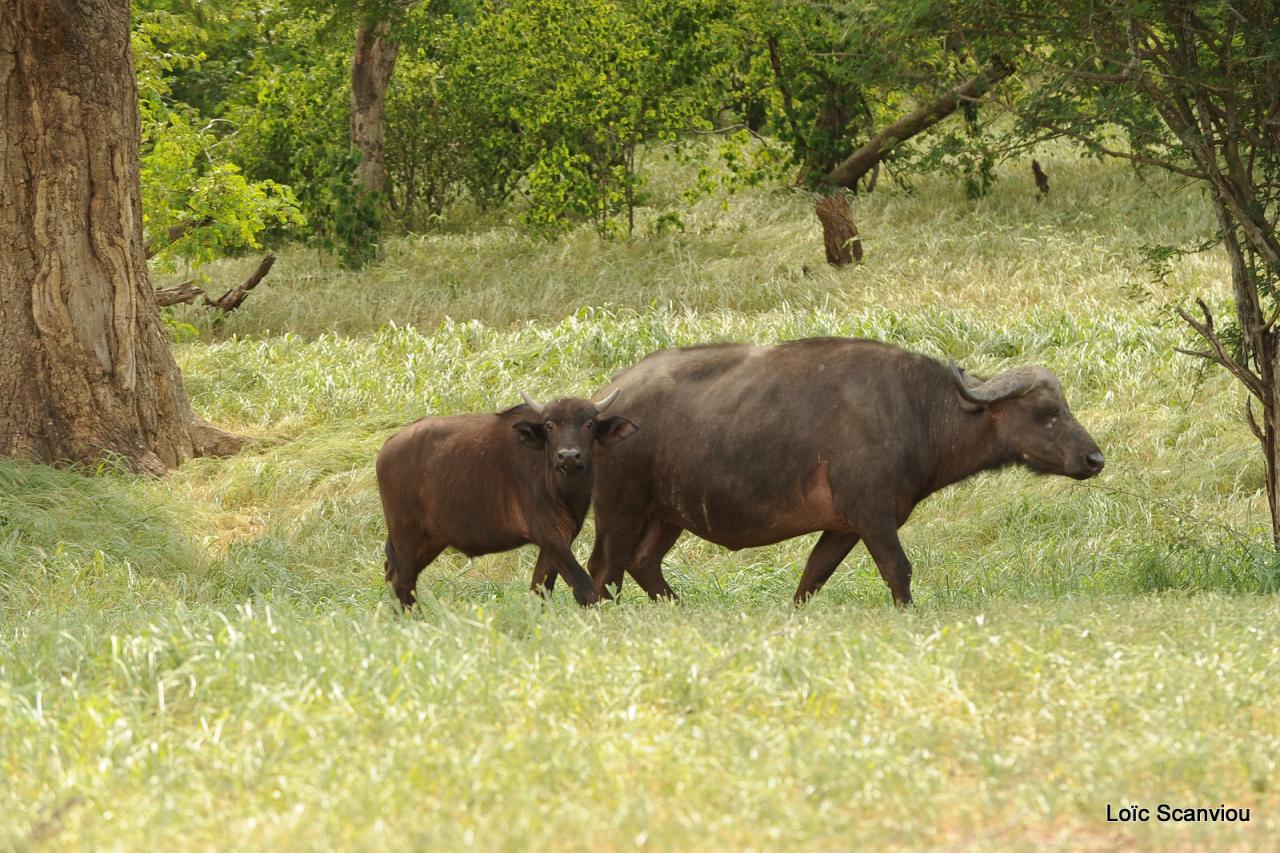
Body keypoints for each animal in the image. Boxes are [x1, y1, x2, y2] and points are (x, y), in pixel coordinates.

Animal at [378, 389, 640, 607]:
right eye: (549, 425)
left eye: (589, 423)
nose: (568, 456)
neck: (558, 485)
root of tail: (389, 445)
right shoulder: (549, 534)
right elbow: (585, 588)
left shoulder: (560, 538)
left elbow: (540, 589)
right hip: (406, 535)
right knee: (402, 580)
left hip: (430, 539)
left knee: (398, 576)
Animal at [586, 335, 1105, 601]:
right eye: (1046, 413)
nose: (1094, 459)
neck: (917, 409)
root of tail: (602, 402)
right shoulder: (872, 516)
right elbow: (898, 570)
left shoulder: (843, 527)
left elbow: (812, 578)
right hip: (620, 508)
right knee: (604, 568)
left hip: (666, 514)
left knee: (642, 562)